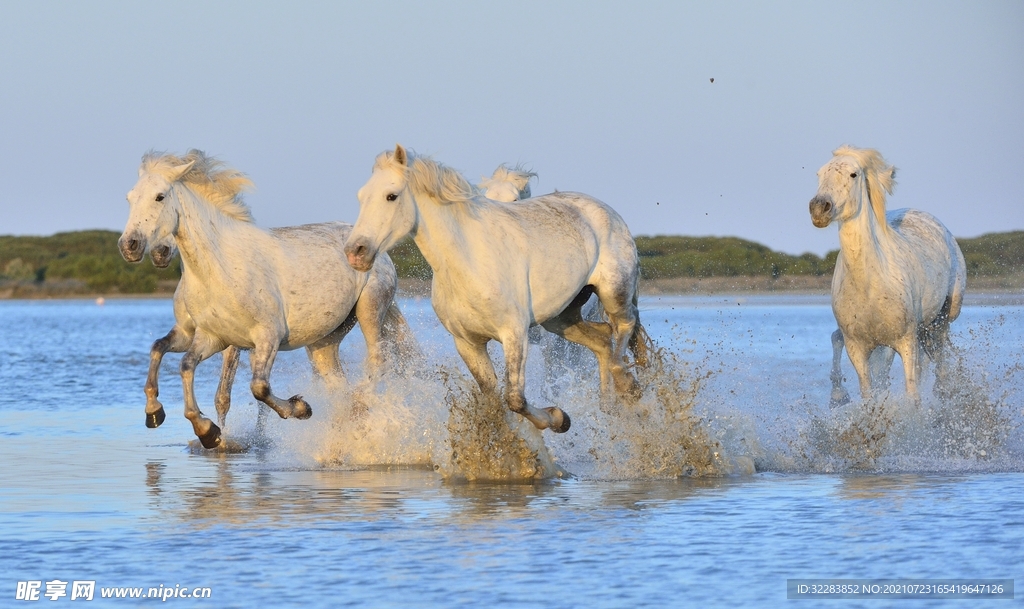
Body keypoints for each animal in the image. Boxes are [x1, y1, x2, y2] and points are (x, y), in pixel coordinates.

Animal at [122, 151, 415, 448]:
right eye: (130, 197)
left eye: (159, 197)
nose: (130, 246)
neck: (220, 267)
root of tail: (375, 247)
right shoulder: (210, 338)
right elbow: (179, 362)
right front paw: (193, 427)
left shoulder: (265, 337)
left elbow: (258, 388)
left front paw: (300, 408)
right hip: (324, 340)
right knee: (337, 385)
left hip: (369, 310)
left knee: (377, 361)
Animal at [344, 145, 647, 433]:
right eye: (360, 196)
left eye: (391, 196)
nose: (355, 252)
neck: (468, 262)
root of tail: (604, 209)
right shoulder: (468, 343)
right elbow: (494, 402)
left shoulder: (514, 334)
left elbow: (515, 398)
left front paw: (559, 419)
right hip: (561, 318)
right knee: (603, 340)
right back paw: (611, 402)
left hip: (614, 293)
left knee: (624, 327)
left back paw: (627, 387)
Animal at [806, 146, 966, 405]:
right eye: (819, 174)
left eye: (853, 174)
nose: (819, 208)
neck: (870, 283)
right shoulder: (858, 348)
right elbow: (869, 394)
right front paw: (840, 397)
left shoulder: (906, 341)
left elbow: (912, 396)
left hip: (943, 318)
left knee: (939, 356)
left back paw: (945, 393)